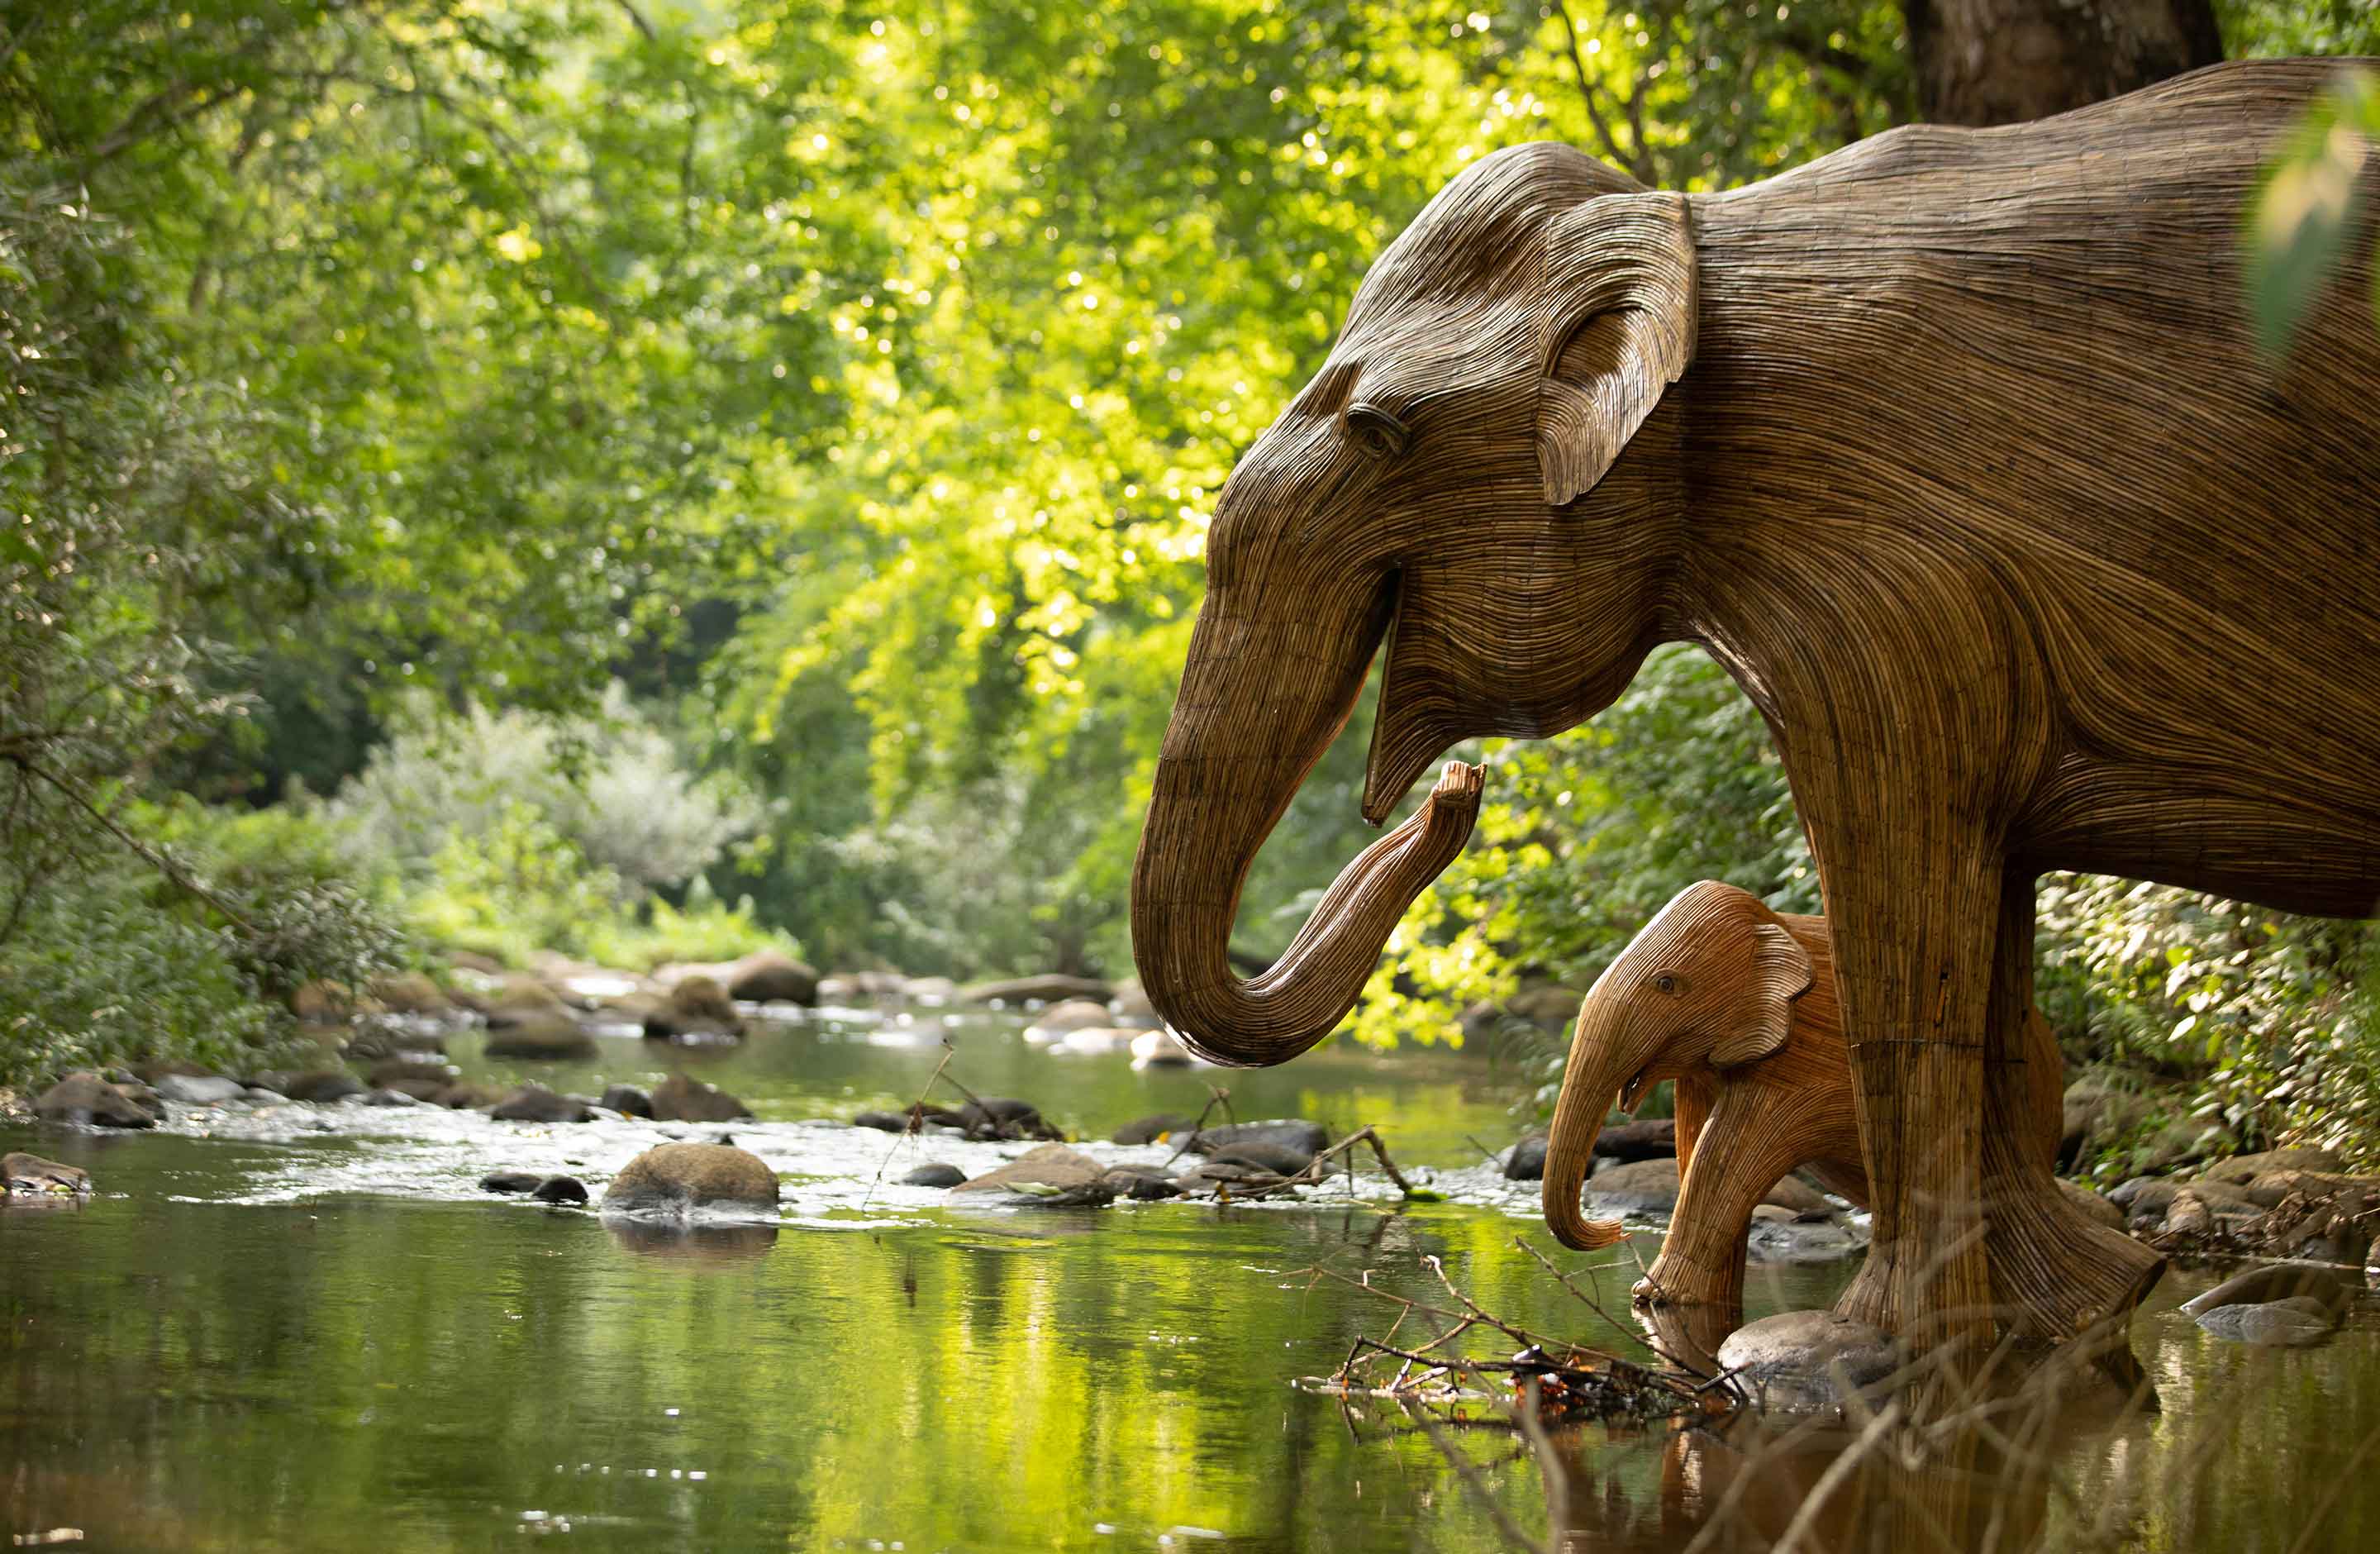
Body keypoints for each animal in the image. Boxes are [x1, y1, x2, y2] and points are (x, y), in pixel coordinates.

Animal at [1539, 881, 2074, 1322]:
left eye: (1667, 982)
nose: (1616, 1228)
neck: (1776, 923)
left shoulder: (1808, 1069)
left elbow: (1725, 1157)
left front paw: (1655, 1298)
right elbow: (1696, 1149)